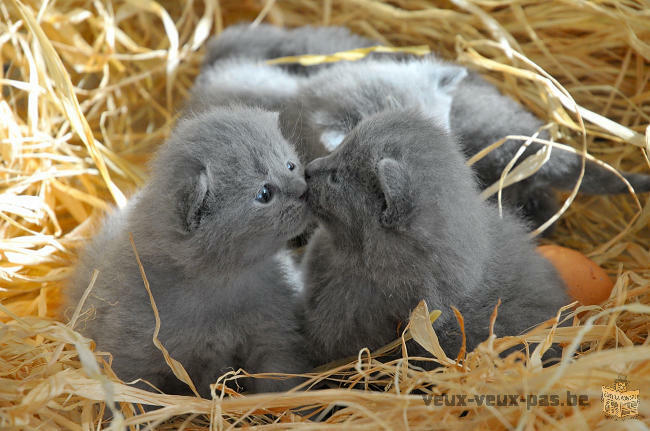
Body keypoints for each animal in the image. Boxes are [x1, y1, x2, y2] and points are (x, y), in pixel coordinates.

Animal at [67, 106, 310, 396]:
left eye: (290, 165)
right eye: (264, 193)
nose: (306, 191)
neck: (222, 282)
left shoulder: (274, 335)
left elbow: (278, 378)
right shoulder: (130, 354)